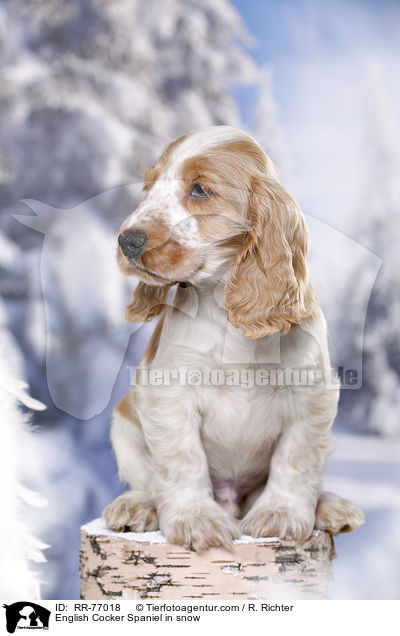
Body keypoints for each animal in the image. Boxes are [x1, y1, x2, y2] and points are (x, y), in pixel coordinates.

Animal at [102, 126, 362, 548]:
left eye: (200, 190)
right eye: (149, 187)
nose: (128, 241)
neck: (225, 310)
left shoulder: (311, 396)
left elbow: (295, 461)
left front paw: (281, 514)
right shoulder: (170, 393)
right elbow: (182, 460)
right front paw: (196, 520)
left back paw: (329, 506)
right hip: (124, 426)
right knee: (147, 480)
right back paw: (136, 506)